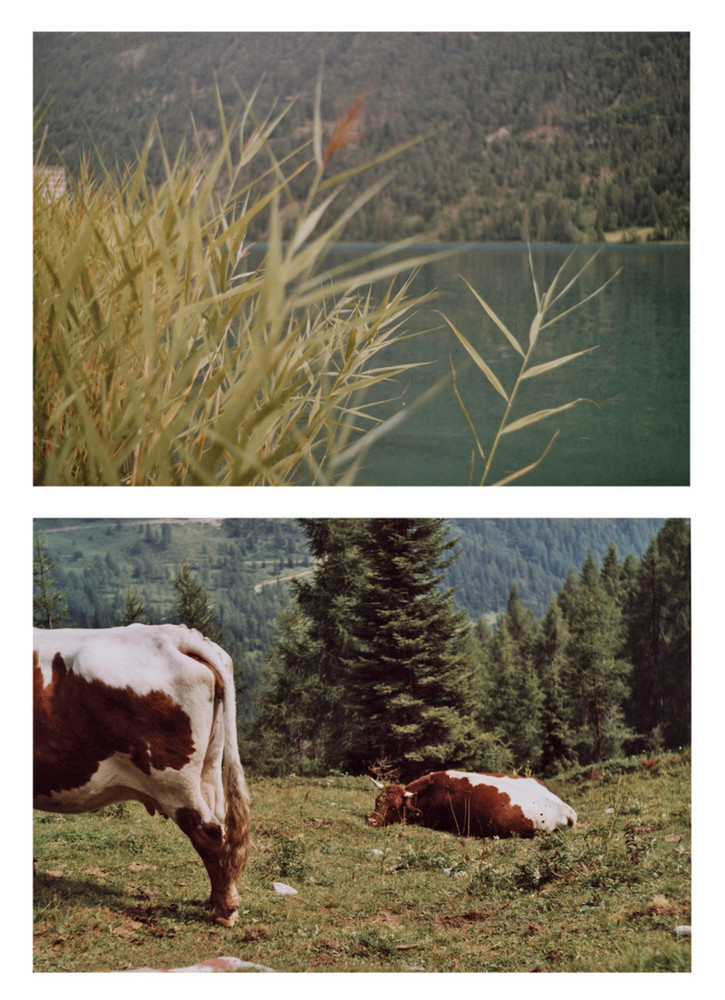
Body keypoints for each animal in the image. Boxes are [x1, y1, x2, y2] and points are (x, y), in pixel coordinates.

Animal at [32, 620, 250, 924]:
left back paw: (224, 910)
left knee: (208, 831)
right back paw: (214, 900)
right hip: (208, 770)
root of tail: (176, 635)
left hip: (174, 780)